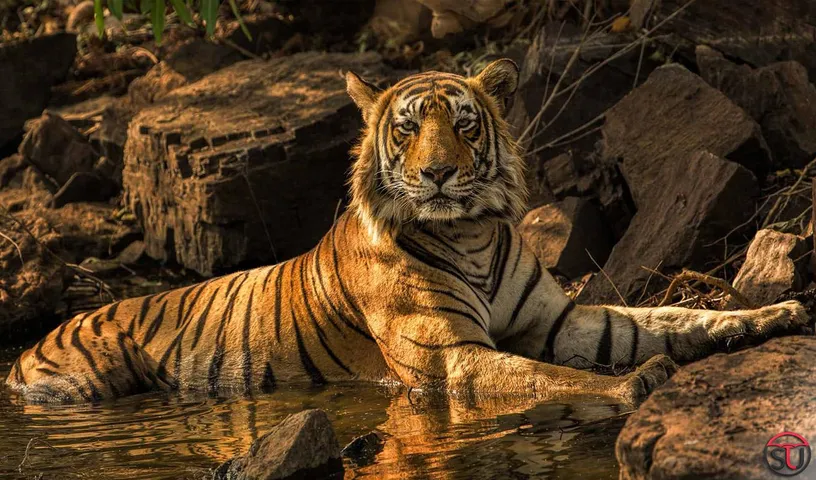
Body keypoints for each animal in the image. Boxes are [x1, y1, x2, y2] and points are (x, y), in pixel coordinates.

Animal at [5, 59, 809, 405]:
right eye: (405, 128)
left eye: (463, 124)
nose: (438, 175)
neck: (473, 234)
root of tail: (39, 337)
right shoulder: (449, 357)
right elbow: (549, 377)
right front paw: (633, 385)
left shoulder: (558, 319)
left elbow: (667, 317)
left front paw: (772, 314)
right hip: (80, 385)